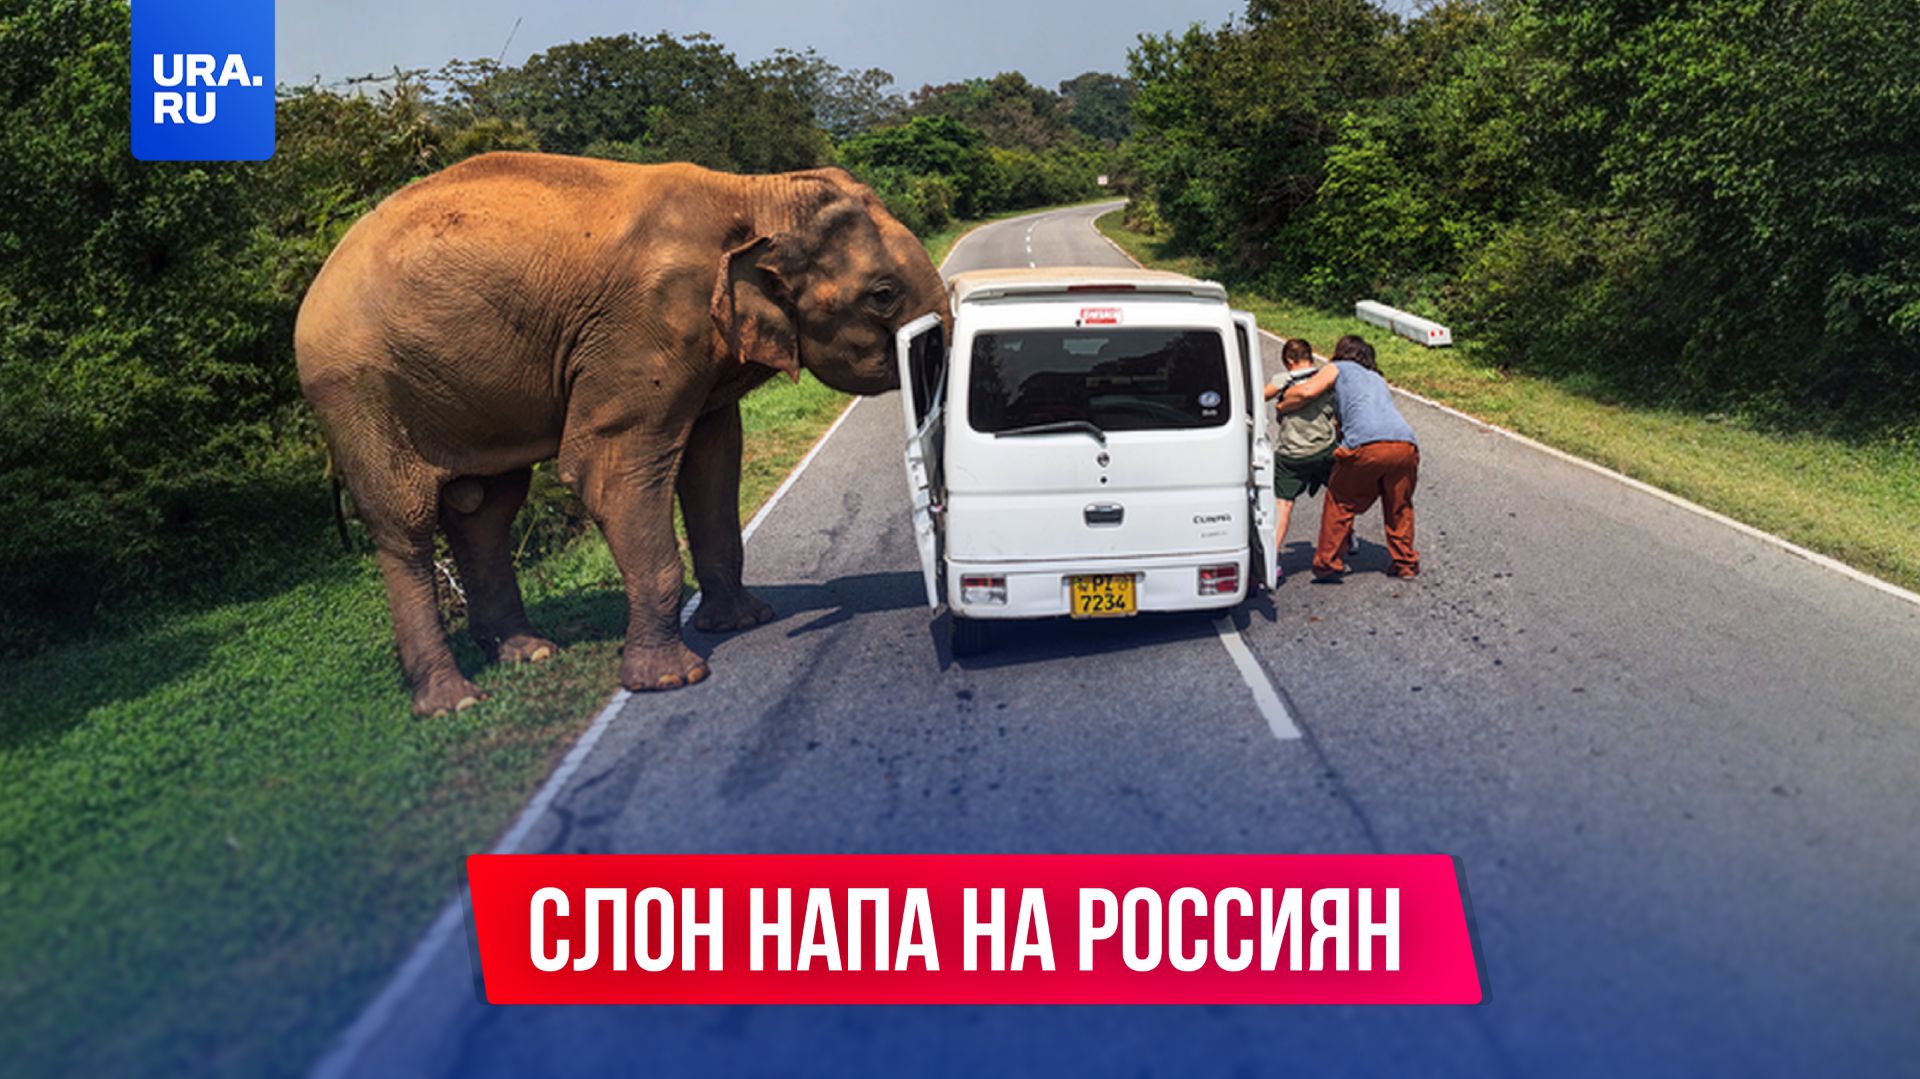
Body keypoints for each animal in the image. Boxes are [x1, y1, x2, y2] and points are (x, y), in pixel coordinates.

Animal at [295, 152, 948, 716]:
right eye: (884, 295)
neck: (751, 194)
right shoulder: (644, 331)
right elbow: (610, 472)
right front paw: (675, 679)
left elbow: (713, 462)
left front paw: (742, 622)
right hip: (357, 392)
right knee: (406, 522)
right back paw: (454, 702)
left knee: (487, 509)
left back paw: (529, 654)